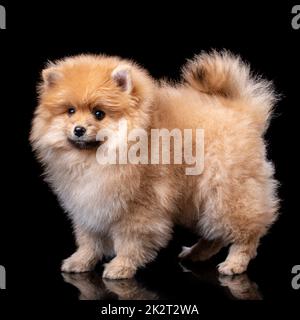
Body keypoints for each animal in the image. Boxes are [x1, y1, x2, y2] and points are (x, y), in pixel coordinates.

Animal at [30, 51, 278, 278]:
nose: (79, 129)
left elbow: (130, 241)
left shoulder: (139, 207)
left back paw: (235, 263)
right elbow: (89, 240)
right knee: (214, 234)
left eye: (99, 114)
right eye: (70, 111)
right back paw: (195, 253)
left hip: (226, 193)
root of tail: (242, 110)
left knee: (246, 230)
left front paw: (121, 266)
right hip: (198, 200)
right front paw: (80, 261)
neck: (96, 158)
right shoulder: (87, 203)